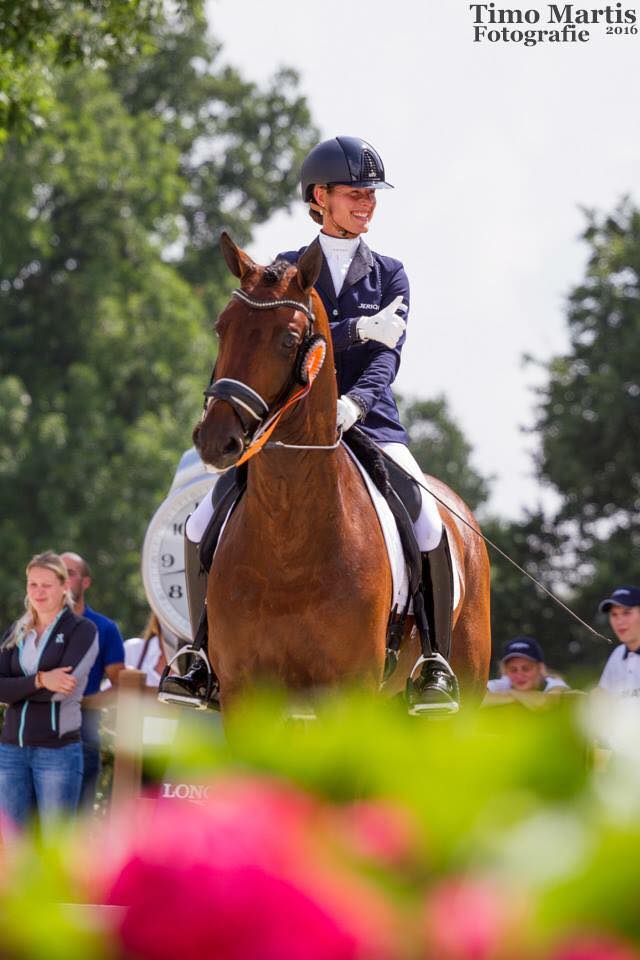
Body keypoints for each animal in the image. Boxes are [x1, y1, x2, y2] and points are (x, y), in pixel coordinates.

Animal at [192, 233, 491, 710]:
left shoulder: (347, 692)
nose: (215, 440)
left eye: (288, 339)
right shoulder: (245, 692)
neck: (288, 541)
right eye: (222, 327)